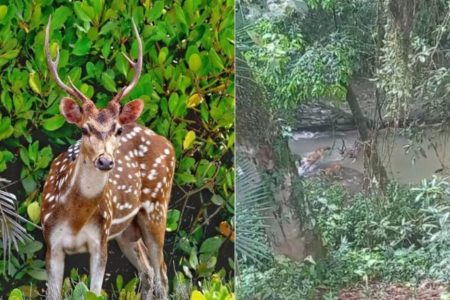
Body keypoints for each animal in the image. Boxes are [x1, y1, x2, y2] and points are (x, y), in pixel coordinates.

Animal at [40, 17, 174, 298]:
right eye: (84, 129)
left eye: (118, 129)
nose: (105, 161)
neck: (75, 220)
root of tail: (165, 140)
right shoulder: (51, 242)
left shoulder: (99, 241)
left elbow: (94, 291)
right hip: (126, 231)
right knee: (147, 271)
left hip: (157, 208)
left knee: (162, 273)